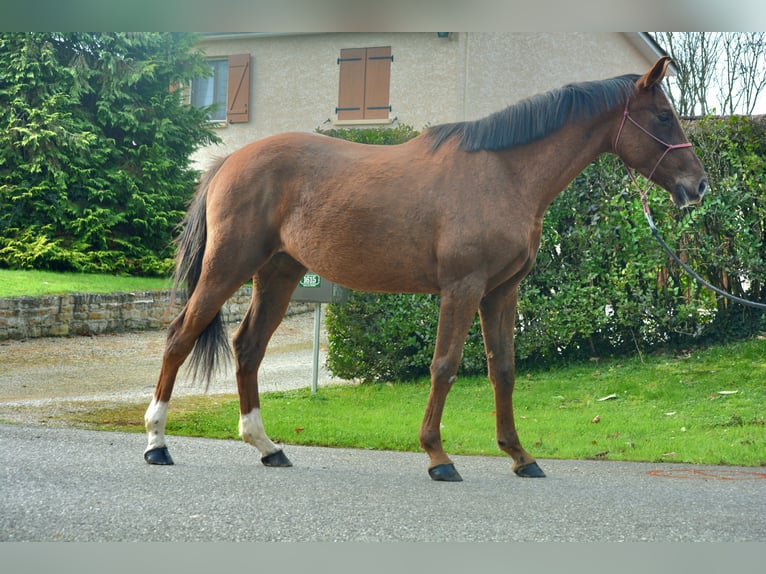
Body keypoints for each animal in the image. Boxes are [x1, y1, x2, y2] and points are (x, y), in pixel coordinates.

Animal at [143, 57, 707, 481]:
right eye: (663, 116)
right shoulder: (462, 288)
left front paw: (520, 455)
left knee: (248, 349)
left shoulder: (501, 292)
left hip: (278, 275)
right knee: (180, 337)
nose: (698, 185)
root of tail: (229, 163)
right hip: (227, 268)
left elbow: (503, 369)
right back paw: (156, 443)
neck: (504, 172)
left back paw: (268, 447)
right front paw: (438, 456)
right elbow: (444, 365)